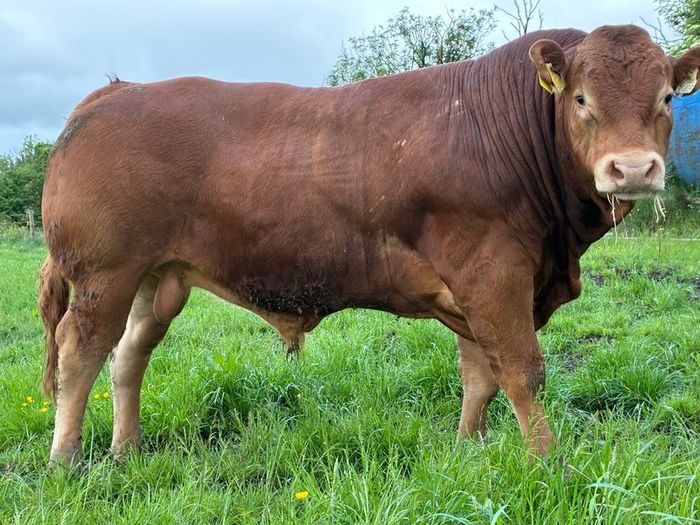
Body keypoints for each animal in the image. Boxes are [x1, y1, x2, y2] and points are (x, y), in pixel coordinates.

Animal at [39, 25, 700, 466]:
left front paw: (469, 448)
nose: (632, 168)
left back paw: (127, 449)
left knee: (128, 355)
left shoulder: (480, 284)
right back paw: (66, 459)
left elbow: (479, 375)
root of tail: (119, 91)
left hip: (158, 275)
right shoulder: (493, 271)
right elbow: (522, 370)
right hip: (105, 272)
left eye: (667, 97)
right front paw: (547, 462)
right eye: (582, 99)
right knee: (79, 352)